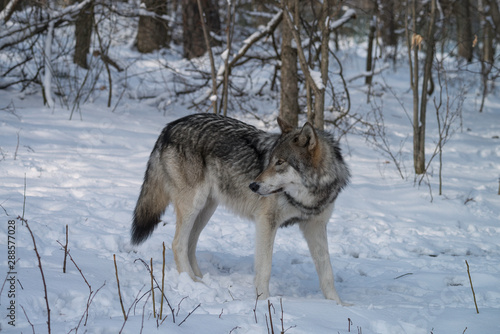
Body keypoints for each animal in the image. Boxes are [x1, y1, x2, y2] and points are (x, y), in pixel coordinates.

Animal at [133, 113, 352, 306]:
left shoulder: (316, 226)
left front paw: (338, 305)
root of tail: (169, 127)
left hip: (206, 210)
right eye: (270, 160)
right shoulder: (266, 222)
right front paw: (264, 302)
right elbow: (264, 269)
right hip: (193, 206)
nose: (253, 186)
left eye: (280, 162)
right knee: (177, 244)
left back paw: (202, 281)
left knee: (189, 245)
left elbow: (327, 272)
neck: (310, 196)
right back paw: (191, 281)